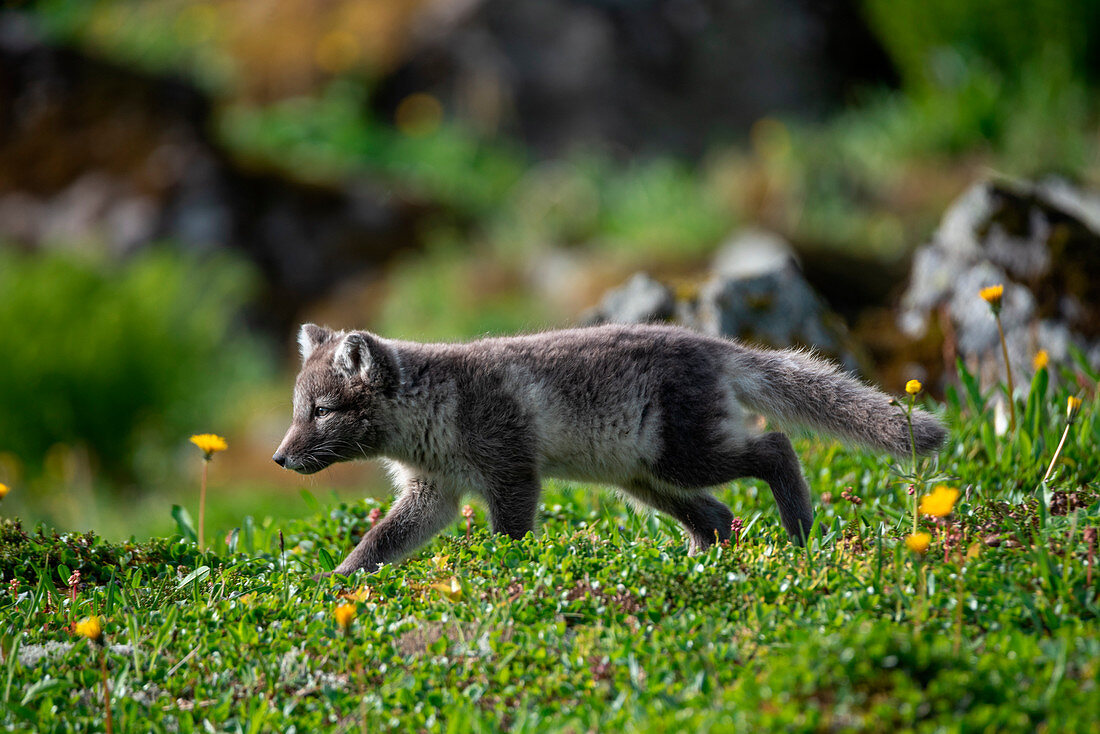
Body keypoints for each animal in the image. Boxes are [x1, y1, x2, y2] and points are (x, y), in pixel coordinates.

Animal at [272, 323, 946, 576]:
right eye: (297, 409)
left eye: (321, 411)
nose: (278, 460)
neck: (436, 412)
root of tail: (716, 344)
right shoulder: (431, 493)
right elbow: (379, 542)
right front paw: (337, 581)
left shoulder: (512, 472)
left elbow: (509, 534)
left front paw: (507, 574)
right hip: (644, 480)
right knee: (717, 516)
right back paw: (697, 564)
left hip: (683, 457)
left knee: (777, 446)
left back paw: (801, 531)